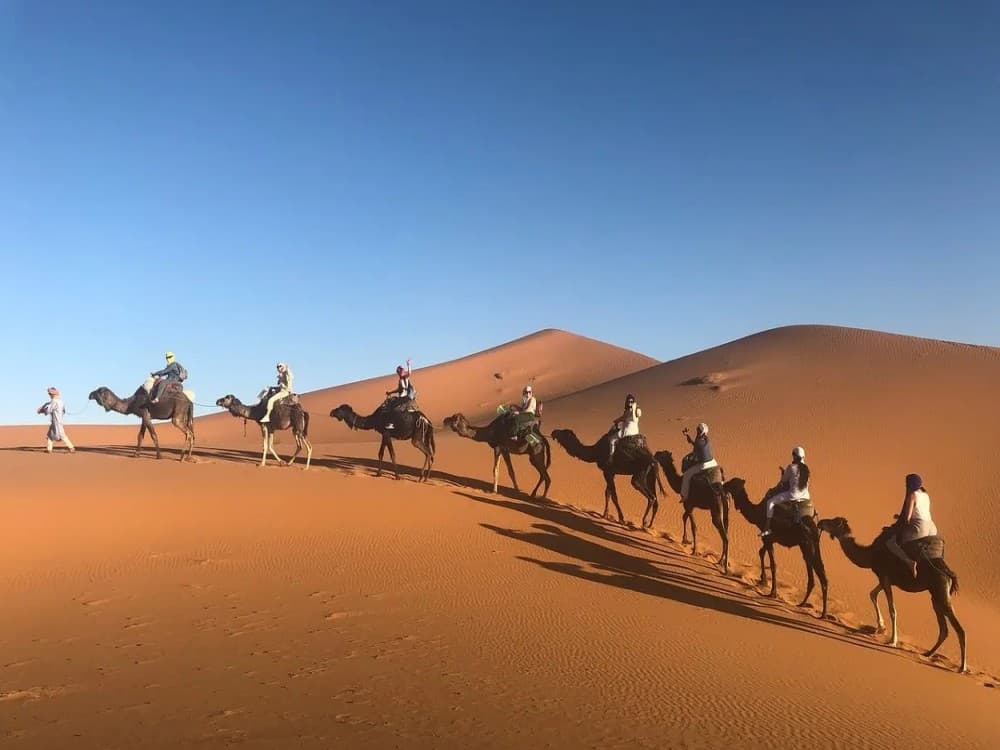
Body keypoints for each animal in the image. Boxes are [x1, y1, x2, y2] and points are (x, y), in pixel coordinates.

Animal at [727, 478, 829, 617]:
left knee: (819, 573)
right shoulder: (768, 539)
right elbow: (761, 552)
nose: (723, 484)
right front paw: (762, 580)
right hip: (809, 546)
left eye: (733, 483)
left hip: (807, 545)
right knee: (816, 572)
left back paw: (821, 613)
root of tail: (814, 527)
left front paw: (772, 592)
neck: (757, 512)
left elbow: (773, 564)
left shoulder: (768, 537)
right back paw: (805, 605)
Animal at [818, 516, 966, 672]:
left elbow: (892, 609)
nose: (820, 522)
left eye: (833, 522)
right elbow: (872, 594)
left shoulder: (884, 577)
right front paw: (880, 627)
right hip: (935, 595)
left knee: (959, 629)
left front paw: (892, 641)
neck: (871, 554)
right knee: (944, 629)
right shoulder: (884, 579)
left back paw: (962, 668)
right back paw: (928, 654)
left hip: (940, 591)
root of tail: (949, 573)